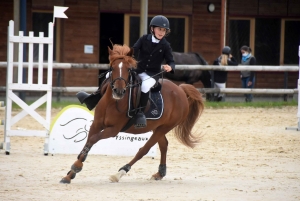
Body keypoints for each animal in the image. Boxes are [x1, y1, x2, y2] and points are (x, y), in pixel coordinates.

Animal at [59, 44, 204, 184]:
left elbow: (93, 139)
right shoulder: (96, 124)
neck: (112, 102)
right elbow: (87, 143)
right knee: (163, 145)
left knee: (144, 150)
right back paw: (159, 174)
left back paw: (119, 173)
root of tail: (180, 89)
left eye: (128, 69)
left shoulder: (113, 130)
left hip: (165, 127)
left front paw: (76, 167)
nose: (119, 91)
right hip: (157, 127)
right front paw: (69, 175)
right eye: (112, 68)